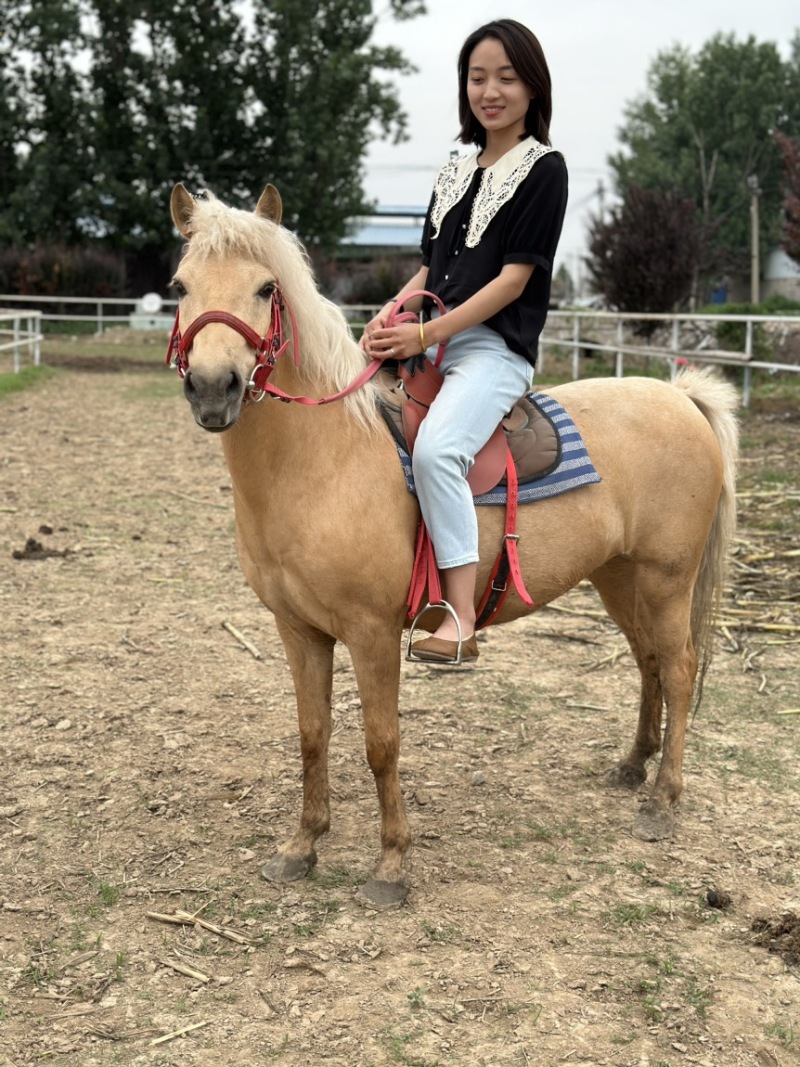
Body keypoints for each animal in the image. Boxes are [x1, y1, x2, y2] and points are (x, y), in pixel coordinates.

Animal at [166, 181, 738, 909]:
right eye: (180, 284)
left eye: (267, 288)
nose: (214, 388)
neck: (323, 456)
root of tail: (681, 398)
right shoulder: (299, 631)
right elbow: (312, 734)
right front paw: (302, 845)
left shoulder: (372, 632)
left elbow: (381, 742)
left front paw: (390, 864)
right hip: (619, 578)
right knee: (650, 664)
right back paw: (633, 766)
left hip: (667, 580)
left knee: (681, 668)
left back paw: (663, 801)